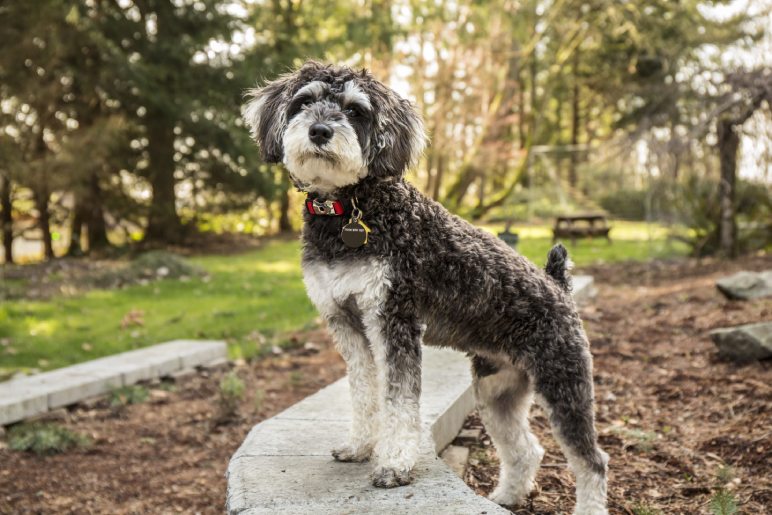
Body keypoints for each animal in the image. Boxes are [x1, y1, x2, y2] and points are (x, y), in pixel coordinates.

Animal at [241, 62, 608, 512]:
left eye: (355, 110)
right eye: (303, 101)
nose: (320, 130)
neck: (350, 210)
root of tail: (557, 285)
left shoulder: (393, 319)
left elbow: (398, 400)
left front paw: (394, 465)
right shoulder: (347, 324)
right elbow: (364, 391)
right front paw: (359, 446)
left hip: (563, 384)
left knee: (592, 462)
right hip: (497, 390)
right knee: (525, 448)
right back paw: (506, 495)